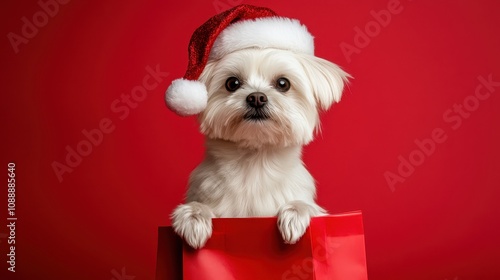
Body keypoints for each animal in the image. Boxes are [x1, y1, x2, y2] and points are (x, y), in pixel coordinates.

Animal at [164, 6, 348, 249]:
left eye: (283, 83)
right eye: (232, 83)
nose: (257, 98)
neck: (254, 163)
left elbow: (304, 205)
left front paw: (295, 214)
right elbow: (197, 207)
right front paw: (194, 217)